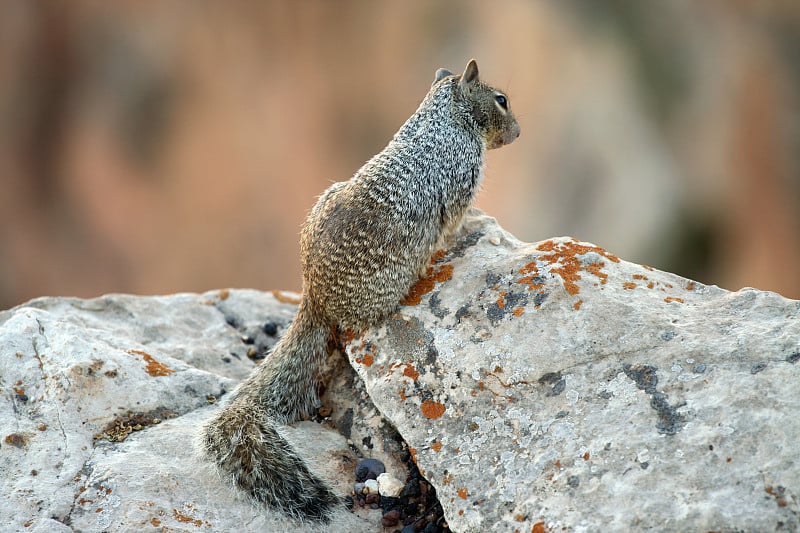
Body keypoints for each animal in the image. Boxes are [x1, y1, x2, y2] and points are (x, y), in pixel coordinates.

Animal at [202, 58, 520, 520]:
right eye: (501, 100)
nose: (519, 133)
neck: (443, 118)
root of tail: (314, 298)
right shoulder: (461, 181)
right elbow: (461, 218)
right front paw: (482, 225)